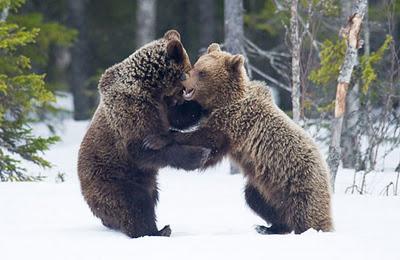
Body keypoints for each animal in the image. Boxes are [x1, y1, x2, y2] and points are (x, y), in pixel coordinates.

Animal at [77, 30, 209, 238]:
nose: (190, 89)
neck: (151, 88)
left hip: (145, 182)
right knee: (133, 204)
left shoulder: (163, 106)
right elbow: (142, 149)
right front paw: (198, 155)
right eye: (189, 69)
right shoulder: (131, 111)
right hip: (113, 179)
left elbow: (179, 116)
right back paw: (157, 230)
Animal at [148, 43, 332, 235]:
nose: (184, 79)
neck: (223, 100)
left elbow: (206, 139)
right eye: (195, 66)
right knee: (255, 199)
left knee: (305, 213)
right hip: (265, 187)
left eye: (202, 72)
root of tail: (326, 171)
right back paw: (269, 227)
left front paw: (157, 138)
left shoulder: (235, 121)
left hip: (299, 183)